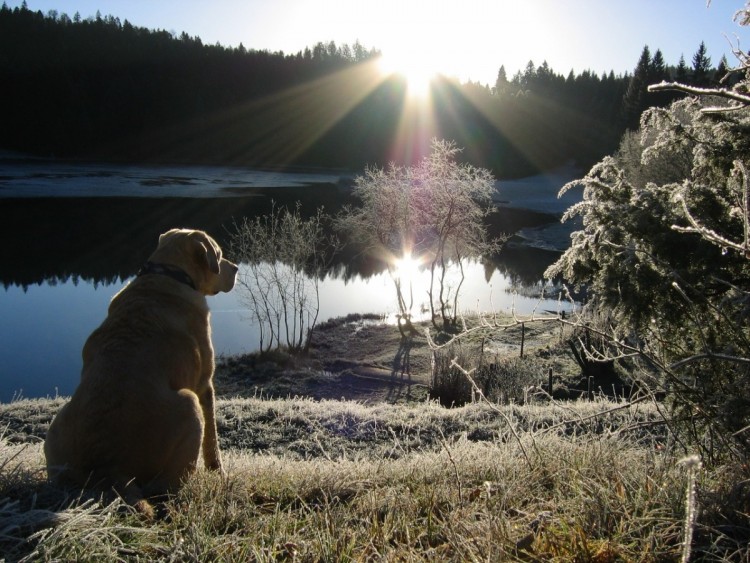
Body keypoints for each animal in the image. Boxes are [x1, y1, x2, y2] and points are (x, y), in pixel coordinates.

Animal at [44, 227, 238, 516]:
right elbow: (212, 441)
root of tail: (107, 469)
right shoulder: (205, 385)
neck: (167, 274)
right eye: (219, 254)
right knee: (165, 488)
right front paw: (218, 471)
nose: (236, 268)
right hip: (189, 405)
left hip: (54, 430)